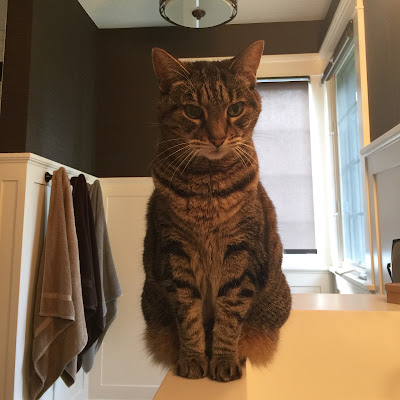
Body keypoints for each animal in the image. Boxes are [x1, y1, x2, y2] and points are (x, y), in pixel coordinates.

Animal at [141, 41, 292, 382]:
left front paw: (223, 360)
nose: (218, 137)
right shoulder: (175, 250)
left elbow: (230, 313)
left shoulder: (241, 249)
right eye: (193, 111)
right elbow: (188, 314)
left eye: (234, 109)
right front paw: (193, 359)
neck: (206, 190)